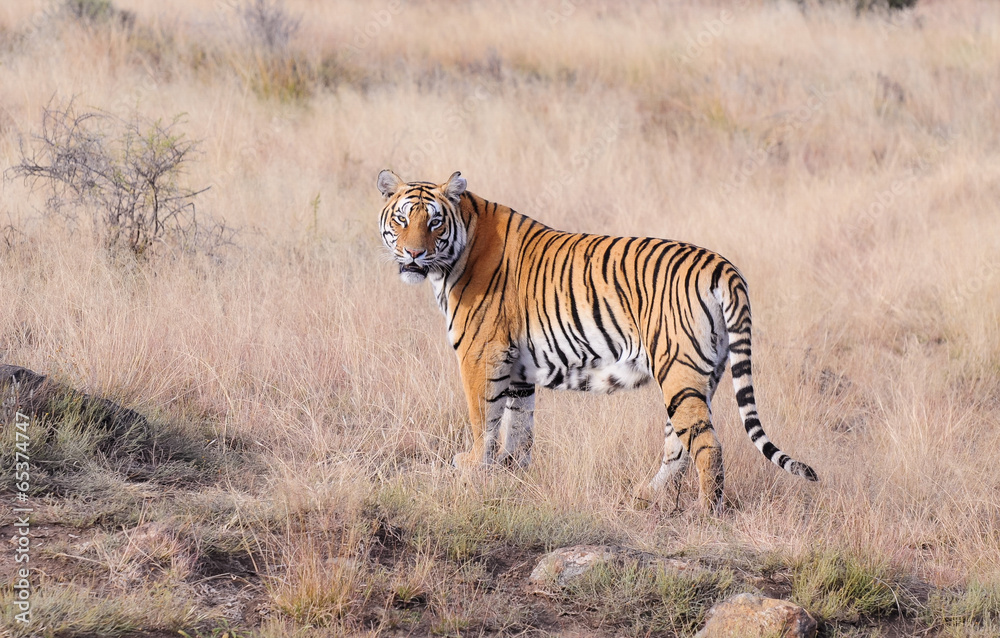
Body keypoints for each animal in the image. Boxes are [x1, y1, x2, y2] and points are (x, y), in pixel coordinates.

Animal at [376, 169, 818, 511]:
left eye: (434, 223)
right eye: (401, 220)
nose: (413, 255)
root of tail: (722, 265)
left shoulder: (481, 354)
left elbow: (482, 417)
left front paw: (471, 467)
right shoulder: (517, 369)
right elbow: (518, 428)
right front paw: (511, 477)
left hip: (678, 369)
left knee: (708, 445)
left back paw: (707, 512)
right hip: (701, 374)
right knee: (679, 445)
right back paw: (646, 496)